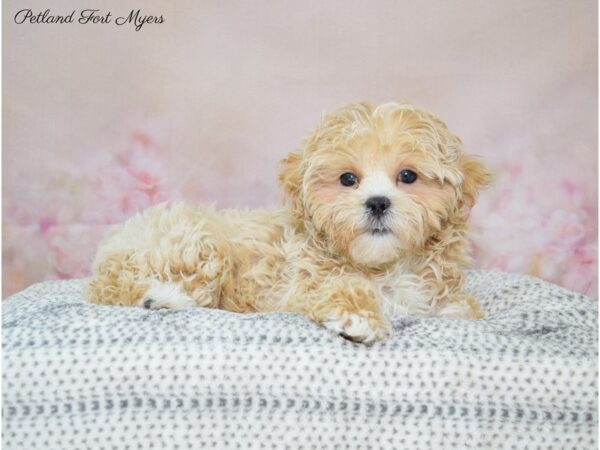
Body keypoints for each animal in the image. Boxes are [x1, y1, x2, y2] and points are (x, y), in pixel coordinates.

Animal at [90, 101, 492, 342]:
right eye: (348, 179)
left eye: (408, 176)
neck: (384, 267)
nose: (377, 203)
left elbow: (464, 309)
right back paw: (163, 297)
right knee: (123, 288)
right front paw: (359, 316)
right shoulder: (299, 285)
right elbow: (338, 288)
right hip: (197, 243)